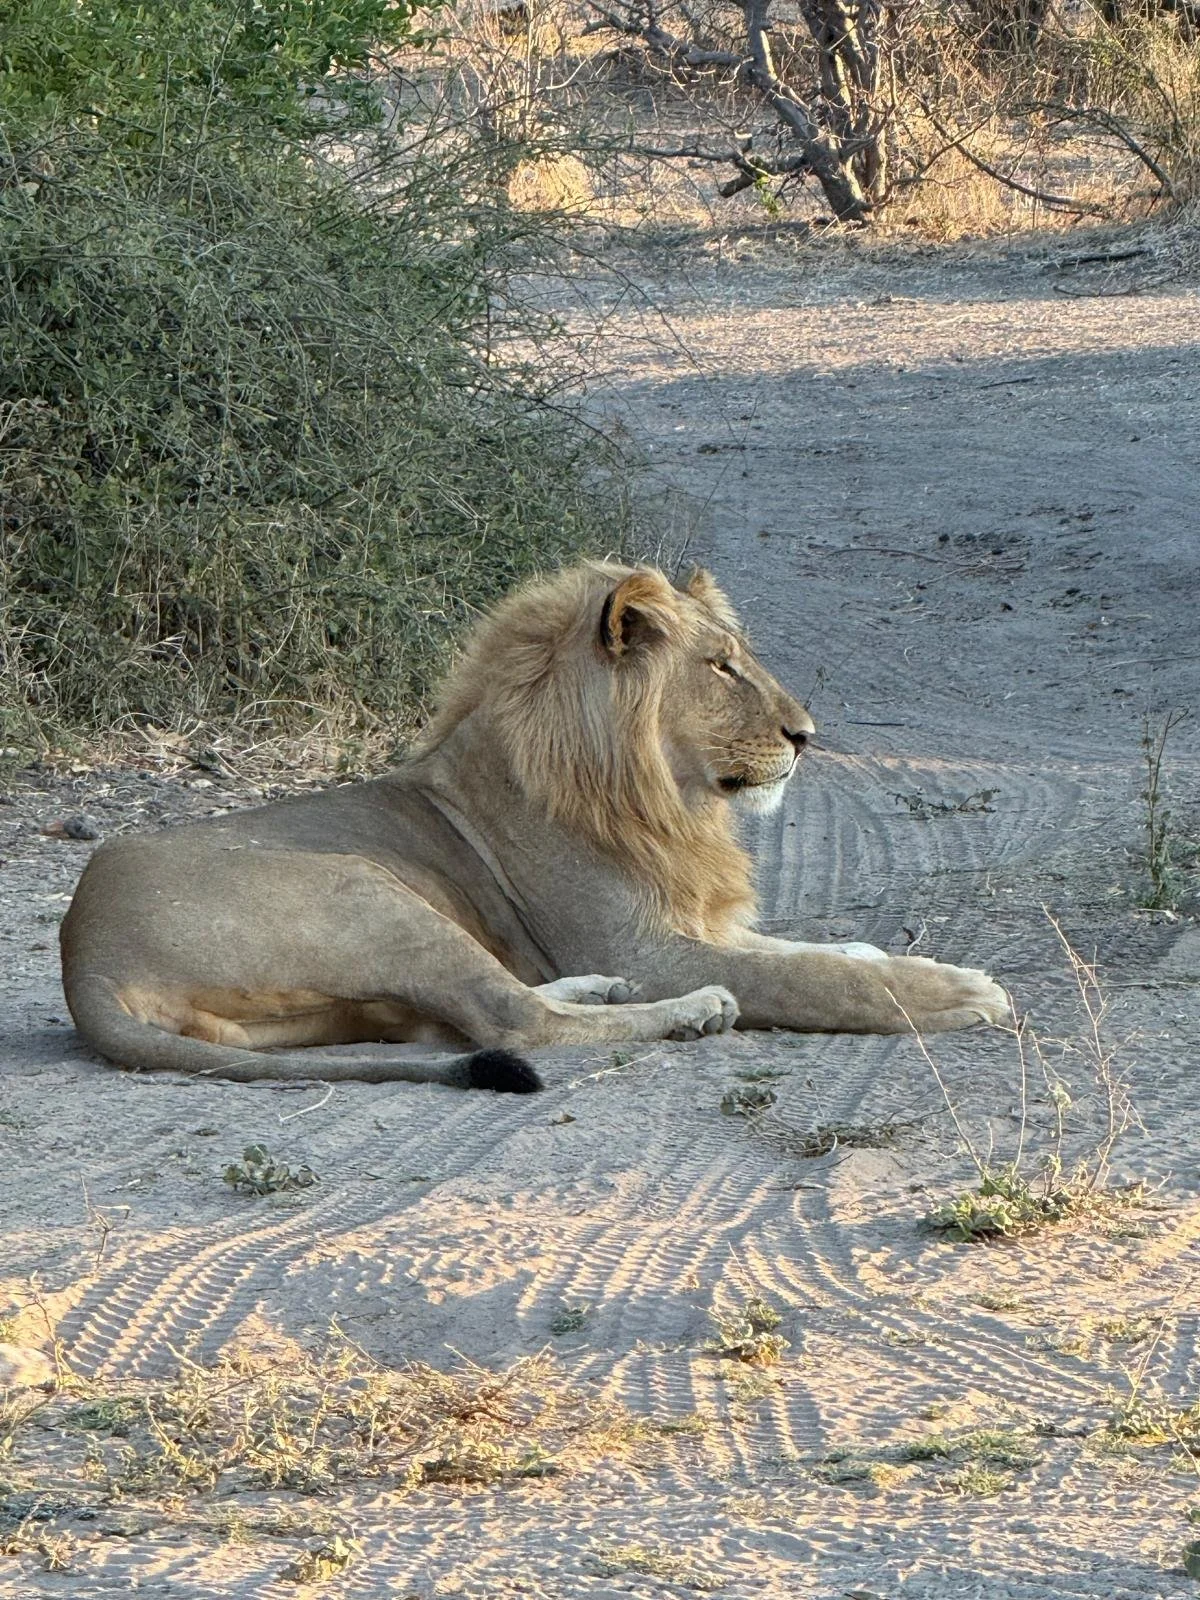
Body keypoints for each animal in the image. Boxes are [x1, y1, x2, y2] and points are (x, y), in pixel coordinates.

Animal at [61, 562, 1007, 1092]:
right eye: (721, 666)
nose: (806, 735)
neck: (671, 800)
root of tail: (84, 954)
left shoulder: (685, 924)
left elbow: (818, 950)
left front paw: (888, 955)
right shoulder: (645, 944)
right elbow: (810, 977)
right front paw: (959, 992)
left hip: (321, 1007)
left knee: (482, 1011)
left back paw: (600, 992)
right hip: (365, 891)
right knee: (514, 1022)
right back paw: (690, 1010)